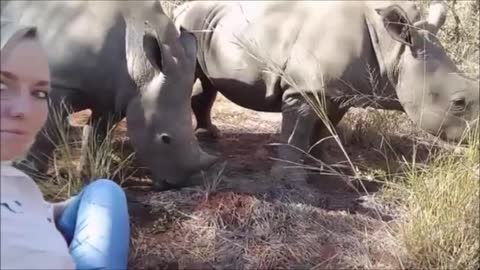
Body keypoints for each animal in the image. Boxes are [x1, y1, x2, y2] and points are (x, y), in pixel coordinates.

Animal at [1, 0, 218, 190]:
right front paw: (28, 176)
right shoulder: (58, 83)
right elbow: (45, 135)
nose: (175, 185)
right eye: (165, 139)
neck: (140, 63)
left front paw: (86, 176)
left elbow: (97, 135)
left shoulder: (114, 97)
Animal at [173, 0, 480, 184]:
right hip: (185, 24)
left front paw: (325, 164)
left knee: (207, 83)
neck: (393, 51)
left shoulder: (337, 92)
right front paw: (291, 179)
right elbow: (297, 131)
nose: (475, 139)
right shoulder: (303, 89)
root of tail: (180, 8)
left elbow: (326, 127)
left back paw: (211, 134)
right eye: (458, 102)